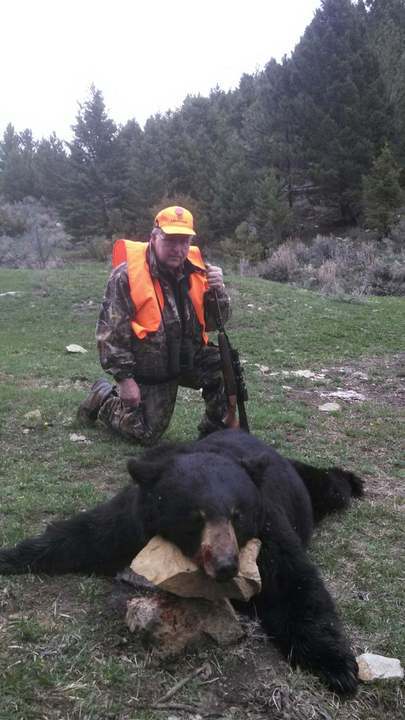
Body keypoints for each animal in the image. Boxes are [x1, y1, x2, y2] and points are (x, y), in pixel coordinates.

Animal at [0, 429, 363, 694]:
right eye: (195, 517)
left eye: (238, 515)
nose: (226, 565)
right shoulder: (135, 519)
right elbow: (87, 535)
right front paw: (12, 556)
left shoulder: (268, 530)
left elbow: (294, 586)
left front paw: (338, 666)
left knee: (329, 485)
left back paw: (354, 481)